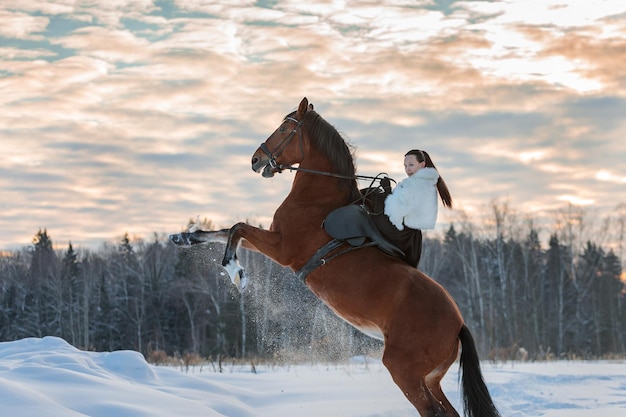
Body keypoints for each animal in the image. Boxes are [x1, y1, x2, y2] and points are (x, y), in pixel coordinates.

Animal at [168, 96, 500, 416]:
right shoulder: (272, 238)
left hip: (404, 372)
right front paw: (183, 237)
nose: (256, 160)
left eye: (284, 129)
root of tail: (458, 325)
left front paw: (236, 273)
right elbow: (225, 231)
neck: (316, 200)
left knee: (433, 412)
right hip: (430, 378)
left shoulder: (281, 248)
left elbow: (236, 229)